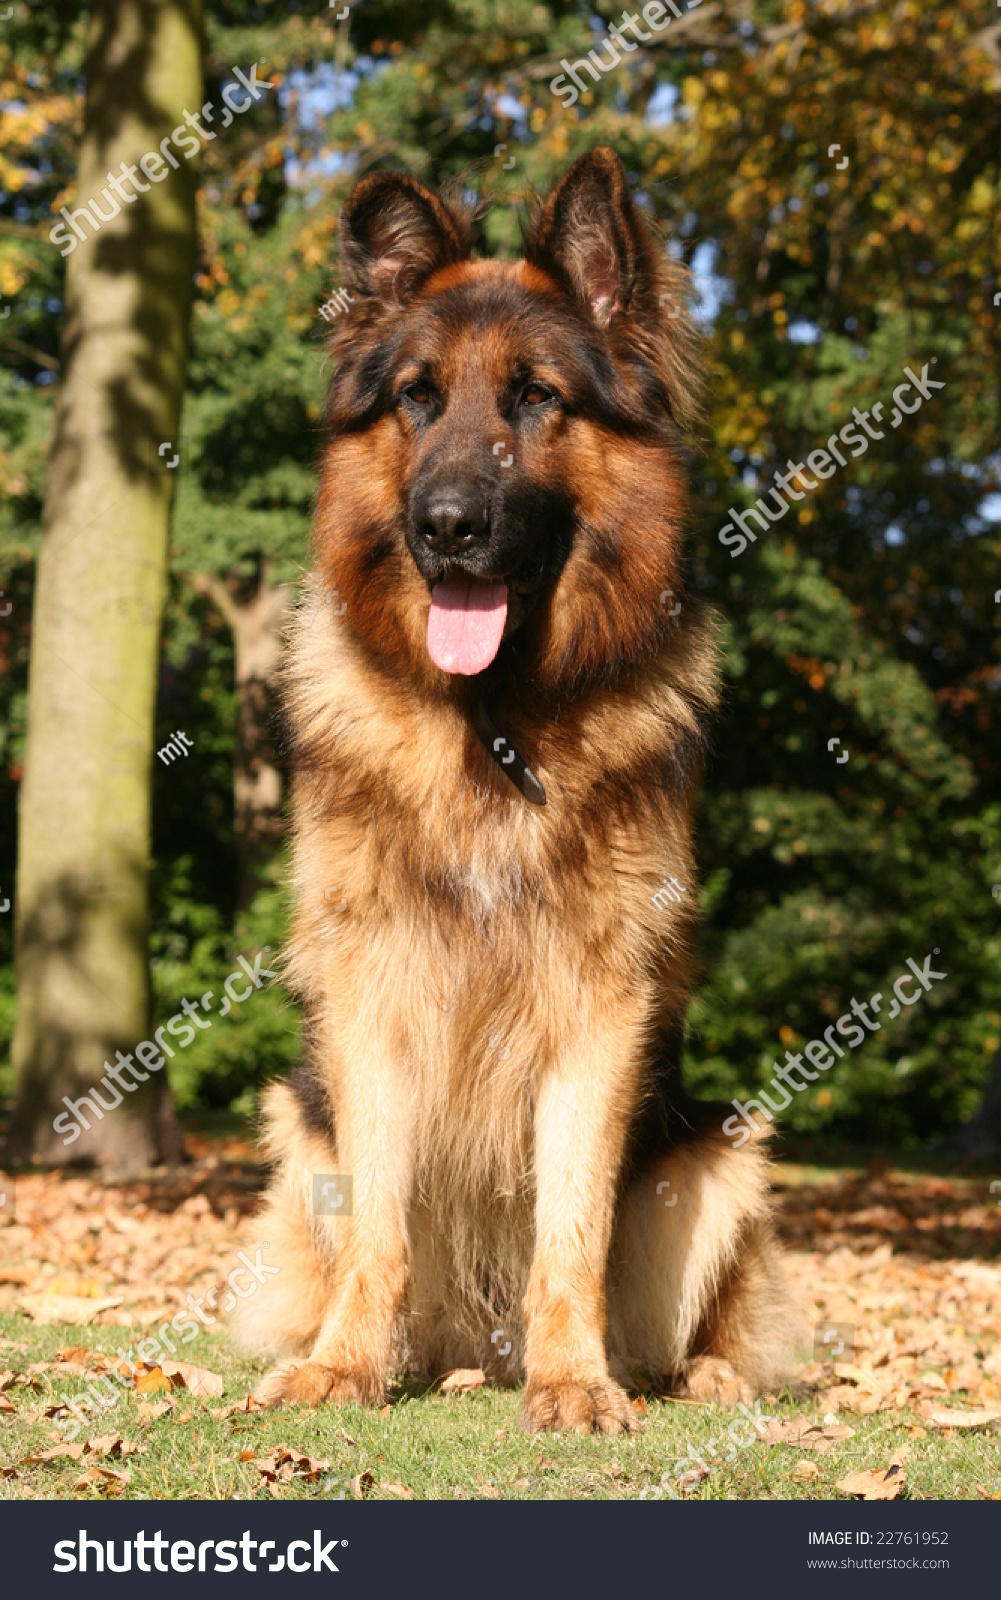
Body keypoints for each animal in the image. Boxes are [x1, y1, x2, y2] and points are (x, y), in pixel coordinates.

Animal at [238, 144, 789, 1433]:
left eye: (536, 397)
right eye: (417, 399)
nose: (447, 526)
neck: (488, 723)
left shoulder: (603, 1002)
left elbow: (570, 1221)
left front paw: (573, 1380)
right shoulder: (372, 990)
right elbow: (379, 1221)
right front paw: (343, 1366)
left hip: (719, 1150)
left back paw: (696, 1373)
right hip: (298, 1122)